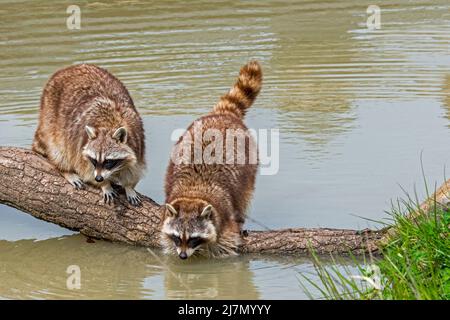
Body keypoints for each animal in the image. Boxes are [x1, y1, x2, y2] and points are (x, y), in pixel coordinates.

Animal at [33, 63, 146, 206]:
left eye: (108, 161)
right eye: (94, 160)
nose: (99, 178)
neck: (108, 125)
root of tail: (70, 68)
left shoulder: (137, 139)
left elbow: (134, 169)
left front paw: (129, 186)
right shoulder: (80, 143)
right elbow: (86, 170)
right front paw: (105, 185)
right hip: (50, 116)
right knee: (58, 149)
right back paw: (66, 170)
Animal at [162, 60, 262, 260]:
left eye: (193, 239)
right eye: (177, 237)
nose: (182, 256)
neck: (193, 194)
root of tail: (223, 114)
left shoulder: (224, 219)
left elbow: (226, 244)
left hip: (250, 163)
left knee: (245, 195)